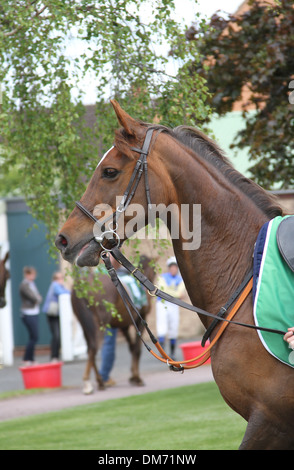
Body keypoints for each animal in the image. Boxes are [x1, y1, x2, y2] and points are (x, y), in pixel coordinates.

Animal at [71, 255, 155, 394]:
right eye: (154, 271)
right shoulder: (140, 319)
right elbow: (137, 349)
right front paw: (137, 378)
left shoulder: (124, 325)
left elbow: (132, 347)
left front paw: (133, 376)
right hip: (100, 324)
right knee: (94, 348)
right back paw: (89, 382)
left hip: (85, 325)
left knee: (90, 349)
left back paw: (100, 381)